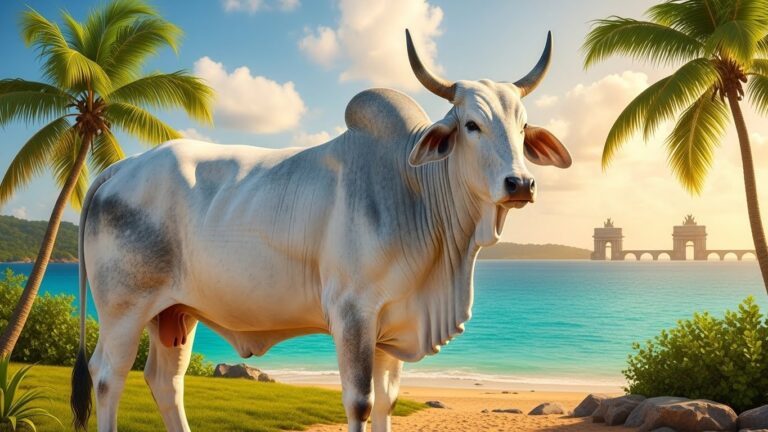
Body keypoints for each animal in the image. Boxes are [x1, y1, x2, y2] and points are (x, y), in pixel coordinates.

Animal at [71, 29, 571, 432]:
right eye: (471, 125)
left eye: (524, 126)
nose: (520, 184)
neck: (415, 192)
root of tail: (119, 168)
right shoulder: (352, 314)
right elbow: (361, 403)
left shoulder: (391, 327)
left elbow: (388, 403)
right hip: (123, 309)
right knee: (108, 378)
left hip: (175, 312)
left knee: (165, 381)